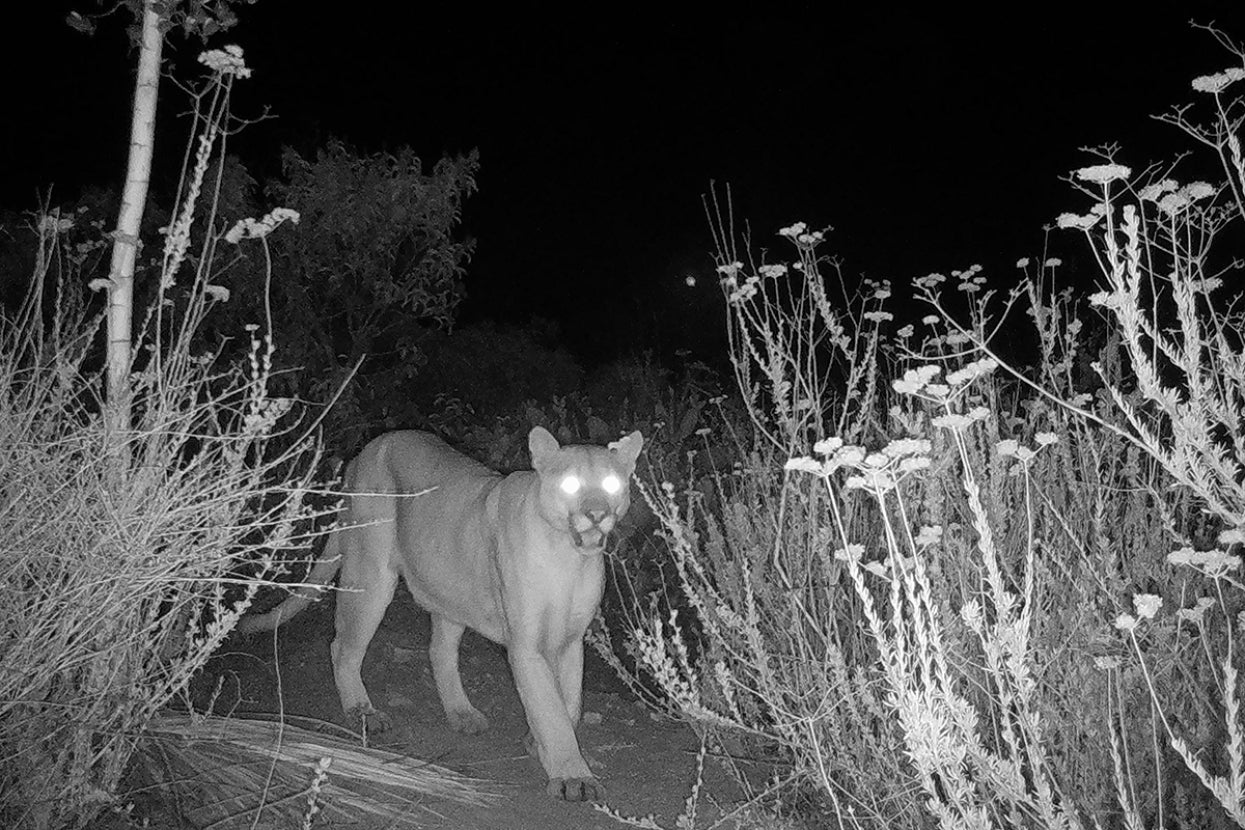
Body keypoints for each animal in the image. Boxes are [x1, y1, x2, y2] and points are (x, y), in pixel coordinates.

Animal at [237, 426, 644, 801]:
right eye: (570, 483)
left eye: (610, 483)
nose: (596, 514)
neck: (568, 557)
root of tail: (364, 452)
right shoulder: (526, 647)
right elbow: (551, 709)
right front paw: (573, 777)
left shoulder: (571, 639)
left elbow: (569, 703)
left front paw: (538, 743)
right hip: (371, 575)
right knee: (342, 646)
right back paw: (363, 712)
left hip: (449, 587)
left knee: (439, 651)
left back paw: (461, 713)